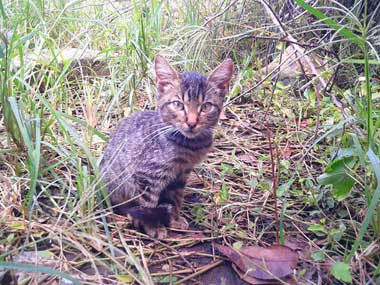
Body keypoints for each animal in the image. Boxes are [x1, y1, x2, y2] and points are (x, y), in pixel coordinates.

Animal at [99, 55, 233, 237]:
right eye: (178, 104)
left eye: (206, 106)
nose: (192, 122)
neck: (189, 146)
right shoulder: (148, 175)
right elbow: (147, 204)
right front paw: (152, 226)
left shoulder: (181, 174)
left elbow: (175, 198)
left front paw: (174, 219)